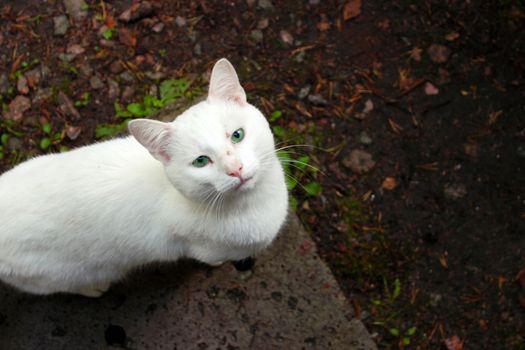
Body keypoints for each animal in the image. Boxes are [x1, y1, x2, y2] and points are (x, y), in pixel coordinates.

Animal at [0, 58, 286, 296]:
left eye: (237, 135)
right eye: (201, 161)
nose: (235, 168)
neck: (254, 203)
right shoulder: (202, 247)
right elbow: (213, 258)